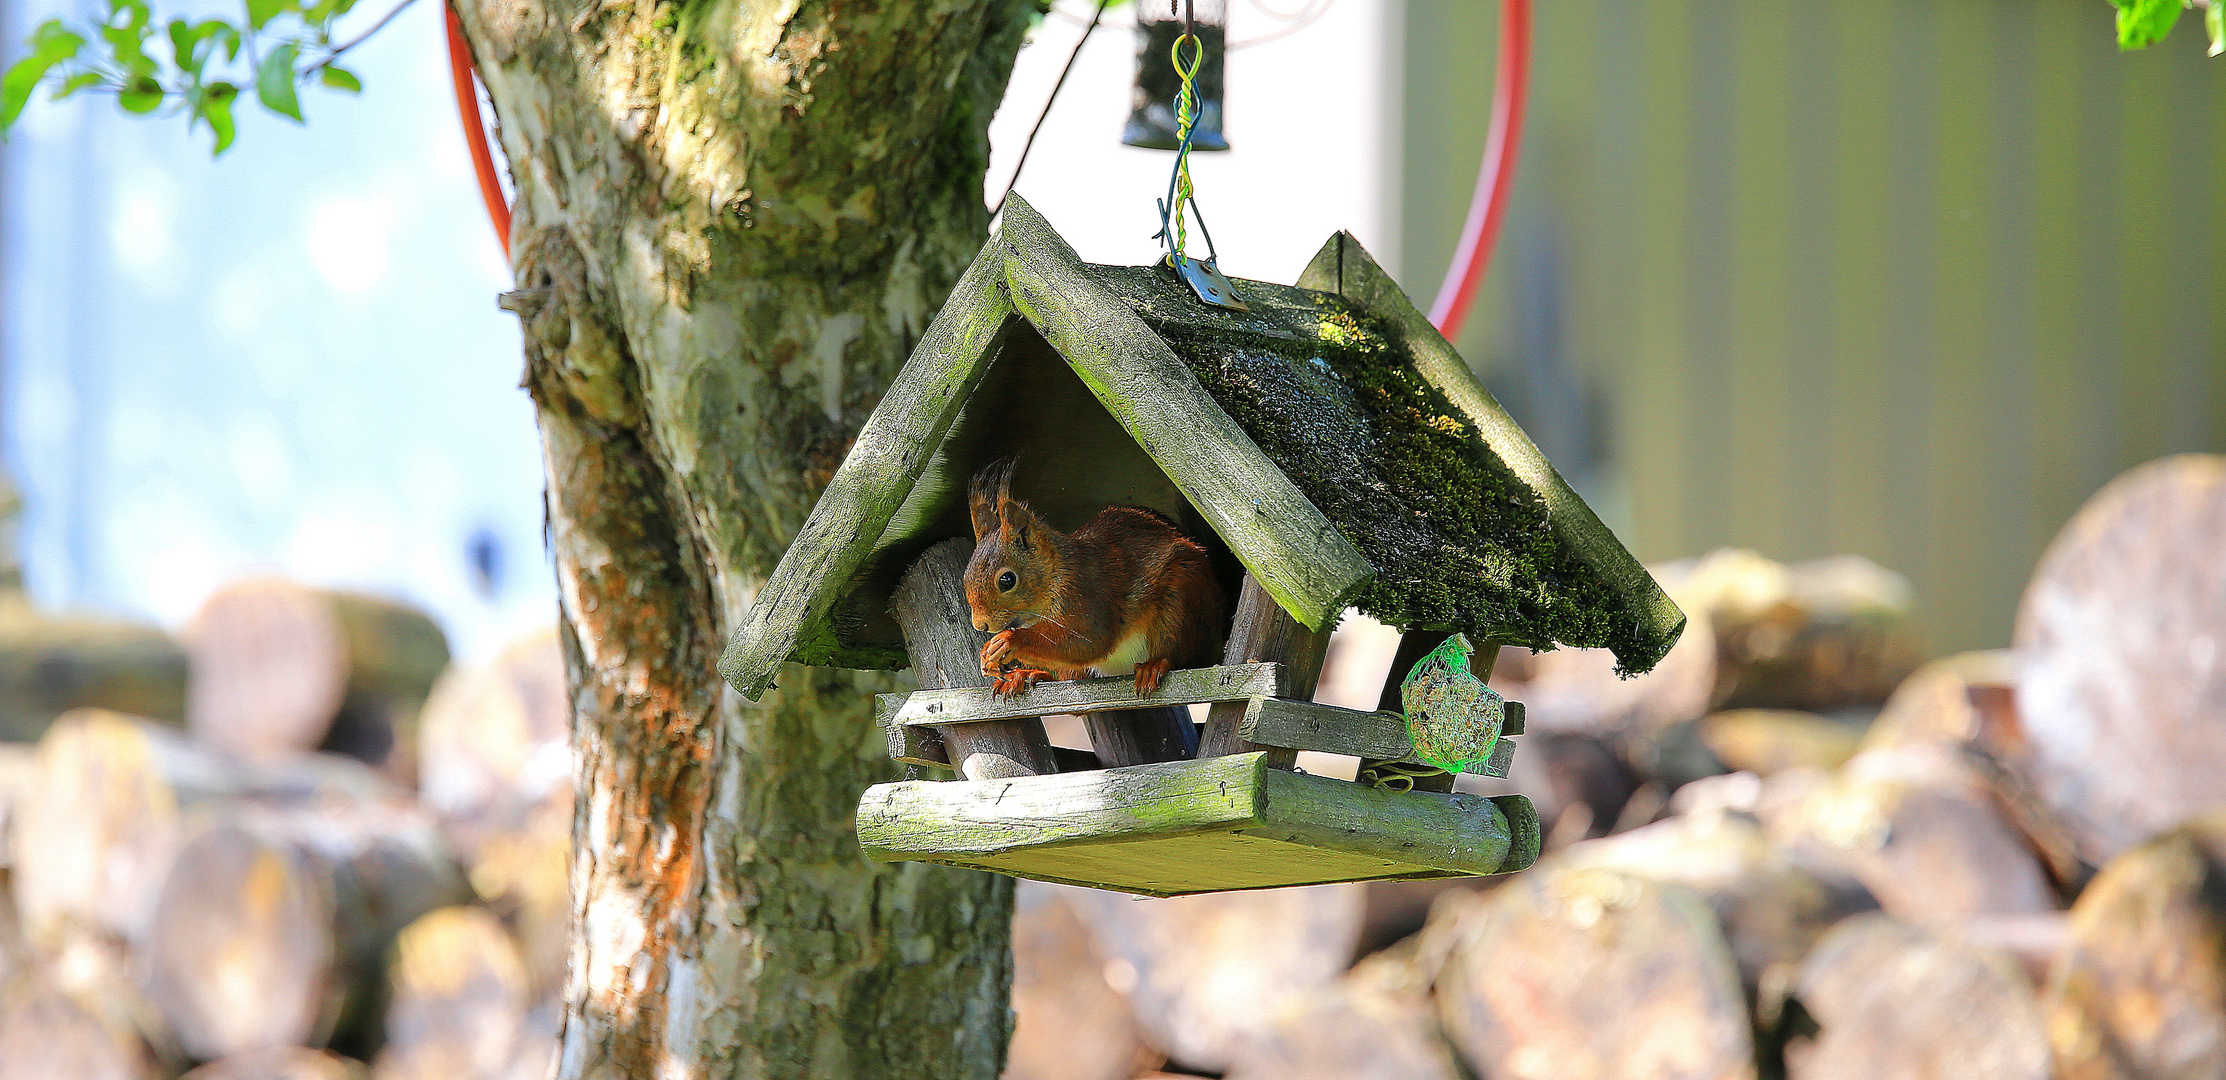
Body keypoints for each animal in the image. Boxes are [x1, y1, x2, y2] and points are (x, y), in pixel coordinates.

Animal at [966, 456, 1228, 699]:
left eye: (1007, 580)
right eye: (966, 576)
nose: (980, 625)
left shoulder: (1088, 592)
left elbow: (1087, 642)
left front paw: (1008, 641)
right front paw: (990, 657)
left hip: (1181, 595)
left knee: (1179, 654)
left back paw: (1154, 665)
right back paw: (1026, 675)